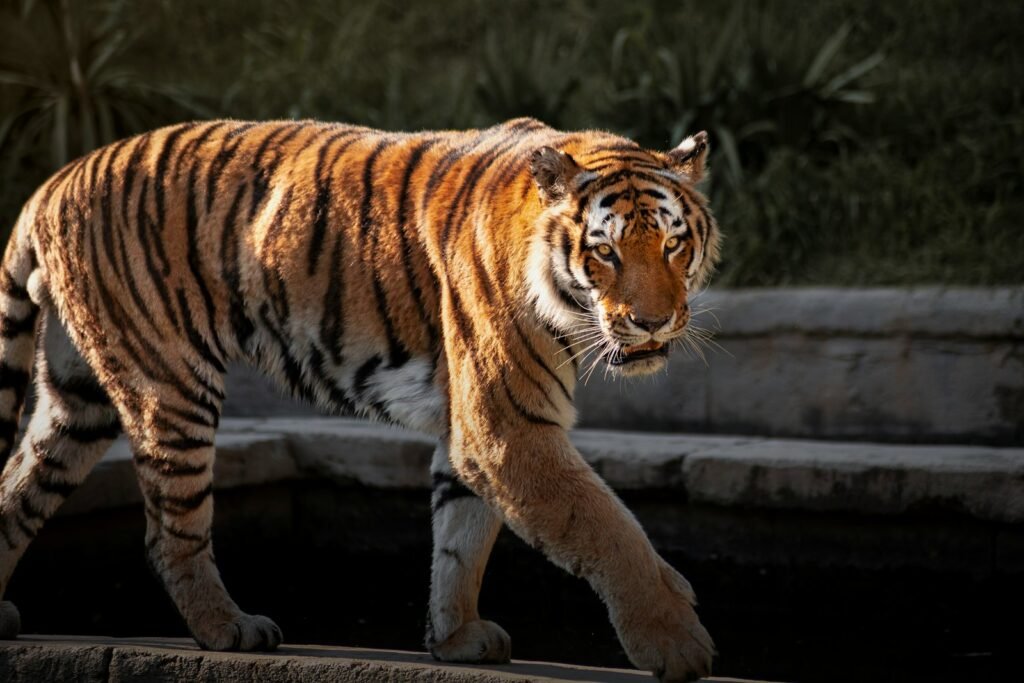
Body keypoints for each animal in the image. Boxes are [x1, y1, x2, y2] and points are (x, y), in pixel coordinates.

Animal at [0, 117, 719, 682]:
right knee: (169, 530)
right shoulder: (506, 427)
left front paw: (456, 638)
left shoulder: (475, 432)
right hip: (169, 384)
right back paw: (230, 628)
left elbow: (461, 538)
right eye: (605, 252)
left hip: (77, 401)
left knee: (18, 486)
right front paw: (675, 641)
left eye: (673, 243)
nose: (654, 323)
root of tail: (51, 183)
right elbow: (607, 527)